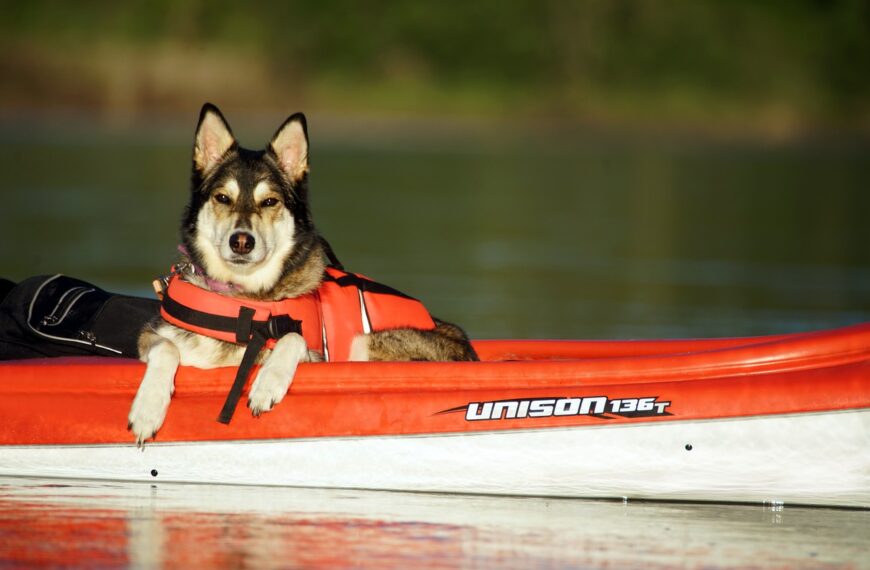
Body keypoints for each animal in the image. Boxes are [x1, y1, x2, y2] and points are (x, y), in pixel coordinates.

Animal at [129, 103, 480, 444]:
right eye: (223, 198)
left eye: (270, 201)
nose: (241, 241)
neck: (242, 300)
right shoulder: (152, 336)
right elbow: (165, 347)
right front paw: (147, 409)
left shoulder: (315, 356)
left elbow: (293, 337)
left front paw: (268, 383)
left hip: (365, 343)